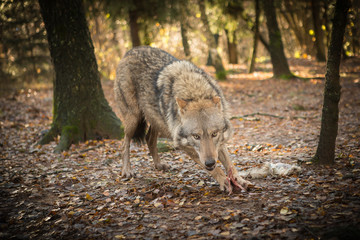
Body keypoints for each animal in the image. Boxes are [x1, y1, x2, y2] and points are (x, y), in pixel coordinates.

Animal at [114, 46, 252, 193]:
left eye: (214, 134)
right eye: (196, 136)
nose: (210, 162)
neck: (195, 93)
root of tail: (130, 51)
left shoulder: (219, 143)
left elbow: (230, 164)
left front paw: (239, 180)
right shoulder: (184, 145)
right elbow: (215, 169)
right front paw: (223, 181)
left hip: (157, 120)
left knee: (149, 139)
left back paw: (159, 164)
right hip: (134, 119)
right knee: (124, 144)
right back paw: (127, 170)